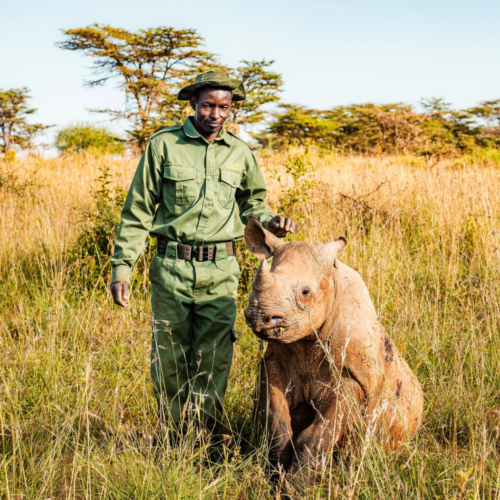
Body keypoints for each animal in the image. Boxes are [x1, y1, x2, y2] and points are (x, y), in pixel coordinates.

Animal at [244, 216, 424, 476]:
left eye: (305, 292)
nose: (259, 316)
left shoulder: (353, 378)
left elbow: (316, 436)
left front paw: (295, 483)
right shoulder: (276, 363)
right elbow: (278, 426)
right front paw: (275, 475)